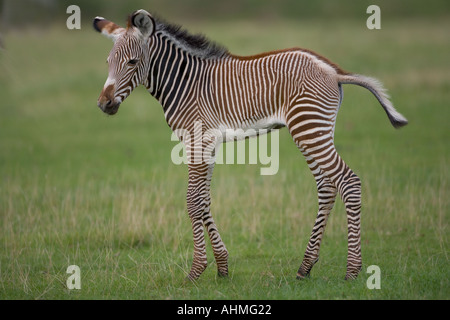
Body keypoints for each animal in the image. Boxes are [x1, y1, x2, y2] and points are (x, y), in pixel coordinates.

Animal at [92, 9, 408, 280]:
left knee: (348, 182)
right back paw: (305, 266)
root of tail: (333, 71)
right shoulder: (208, 143)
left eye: (132, 62)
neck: (183, 83)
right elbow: (204, 200)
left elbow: (192, 201)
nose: (104, 105)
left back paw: (352, 270)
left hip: (308, 128)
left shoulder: (196, 139)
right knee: (328, 186)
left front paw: (196, 270)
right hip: (315, 129)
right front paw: (222, 266)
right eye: (108, 62)